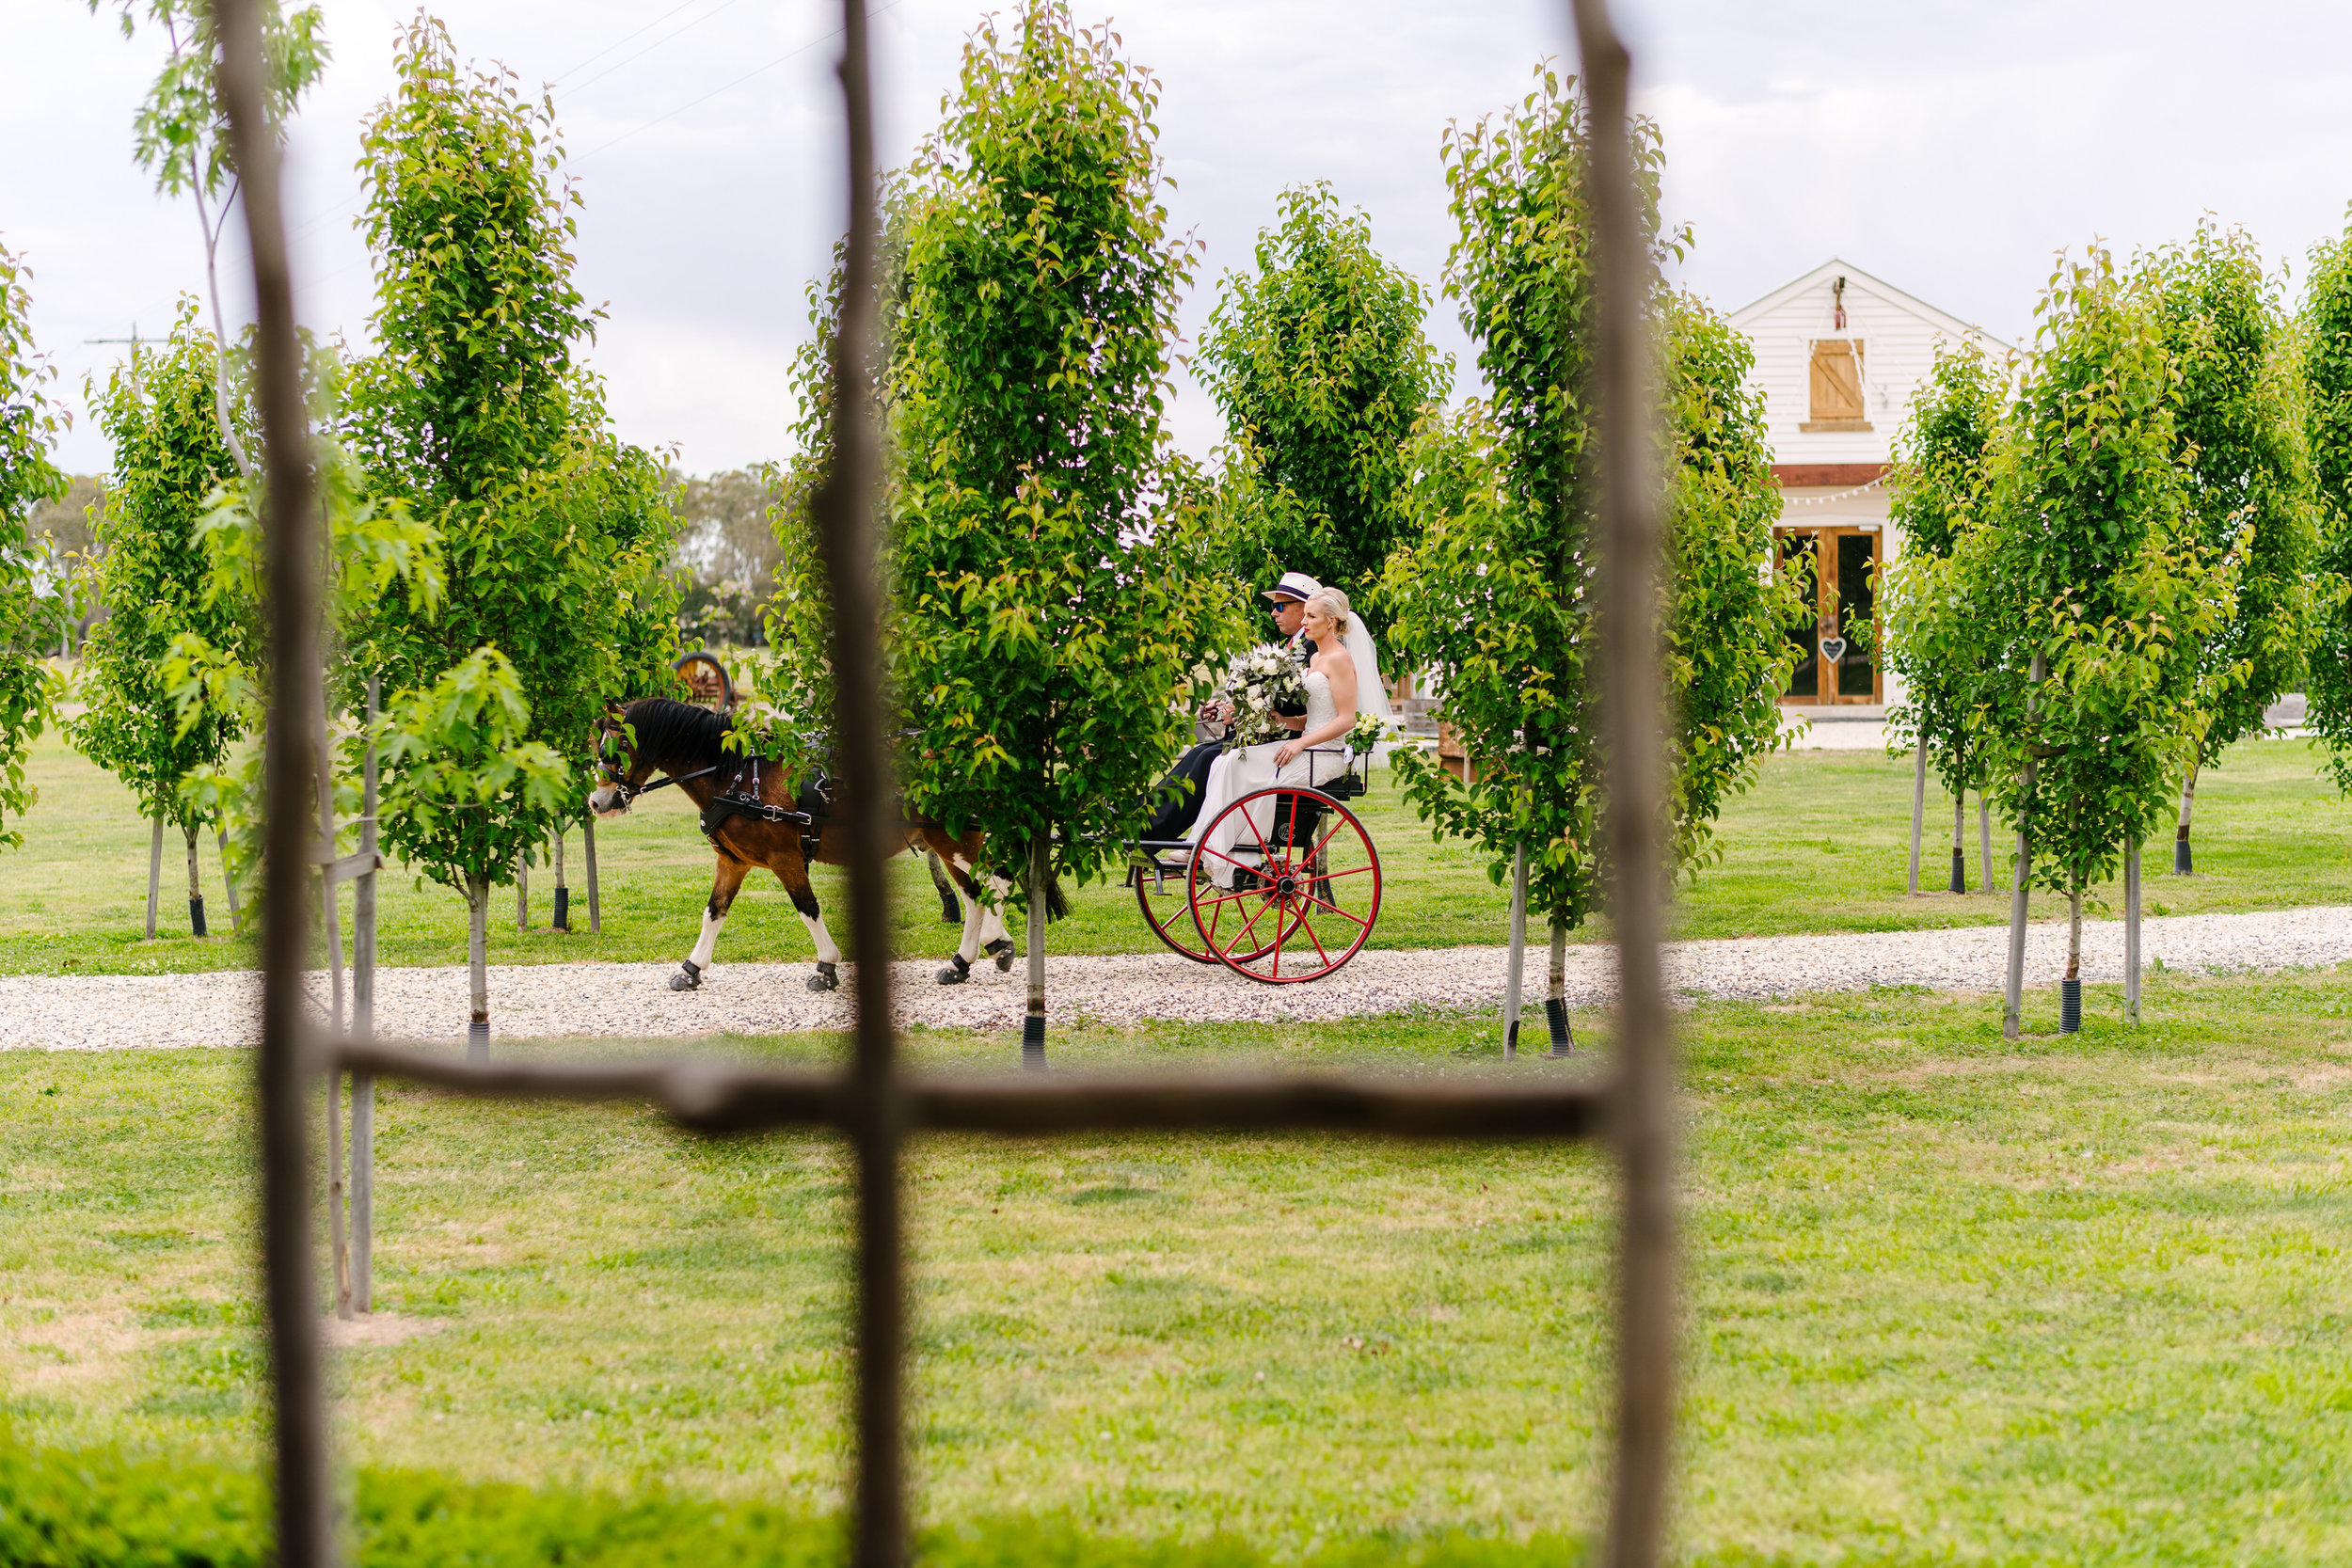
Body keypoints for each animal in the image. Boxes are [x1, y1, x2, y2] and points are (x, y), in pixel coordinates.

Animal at [588, 700, 1011, 991]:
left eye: (618, 745)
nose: (596, 801)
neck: (738, 776)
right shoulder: (732, 861)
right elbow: (714, 911)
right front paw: (691, 969)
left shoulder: (785, 859)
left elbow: (807, 908)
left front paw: (826, 967)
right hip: (948, 843)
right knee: (977, 893)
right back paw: (967, 959)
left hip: (954, 839)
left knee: (991, 884)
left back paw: (986, 946)